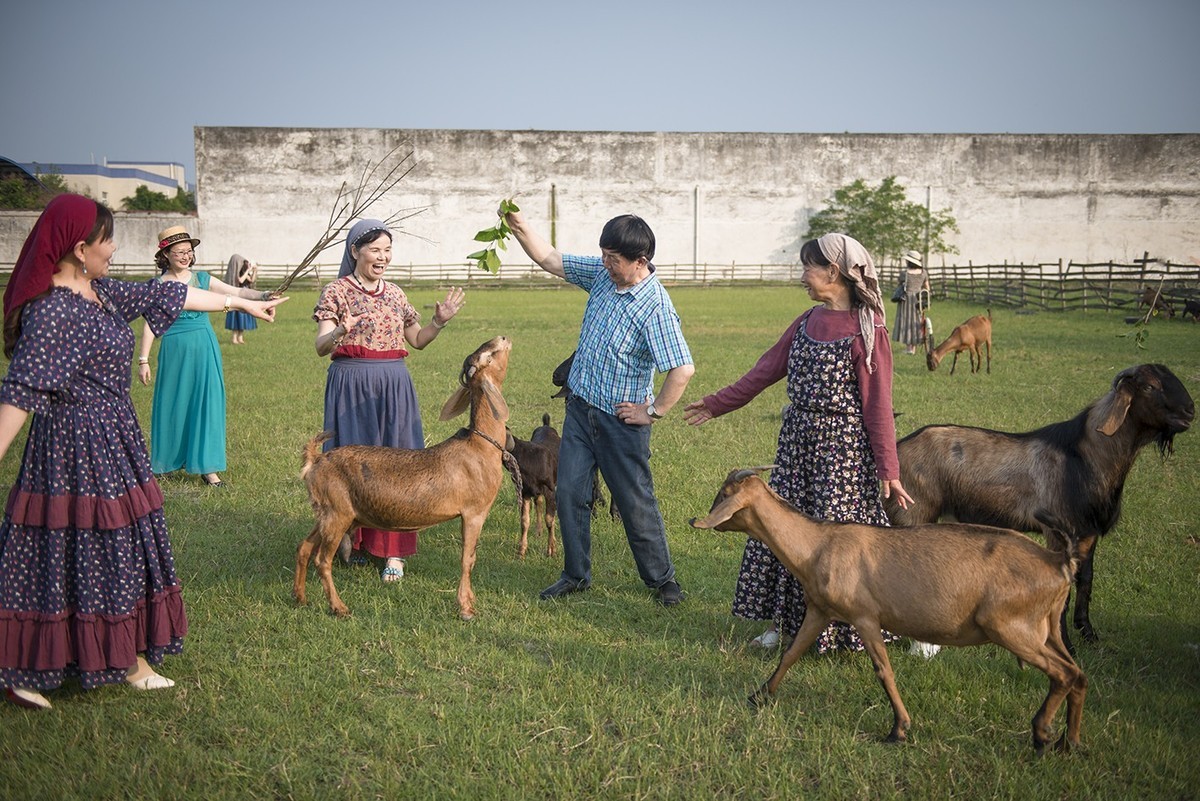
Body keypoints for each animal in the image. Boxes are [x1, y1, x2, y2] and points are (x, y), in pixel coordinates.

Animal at [295, 335, 516, 623]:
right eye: (490, 355)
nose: (503, 337)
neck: (480, 446)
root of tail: (315, 461)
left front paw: (470, 602)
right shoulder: (474, 512)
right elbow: (468, 558)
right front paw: (466, 609)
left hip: (326, 513)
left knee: (304, 548)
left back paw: (300, 598)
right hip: (337, 514)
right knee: (322, 560)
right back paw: (339, 607)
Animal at [686, 465, 1089, 753]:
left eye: (724, 494)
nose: (695, 519)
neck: (819, 544)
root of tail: (1059, 563)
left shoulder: (865, 617)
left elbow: (884, 671)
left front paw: (899, 729)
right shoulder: (820, 610)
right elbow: (791, 653)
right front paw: (759, 696)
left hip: (1010, 626)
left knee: (1062, 674)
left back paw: (1041, 734)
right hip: (1048, 629)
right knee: (1077, 673)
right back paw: (1069, 743)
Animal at [888, 362, 1195, 652]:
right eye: (1149, 386)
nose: (1190, 411)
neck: (1083, 458)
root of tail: (900, 446)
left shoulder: (1088, 533)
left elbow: (1086, 580)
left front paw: (1090, 636)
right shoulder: (1059, 531)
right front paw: (1067, 645)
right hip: (913, 512)